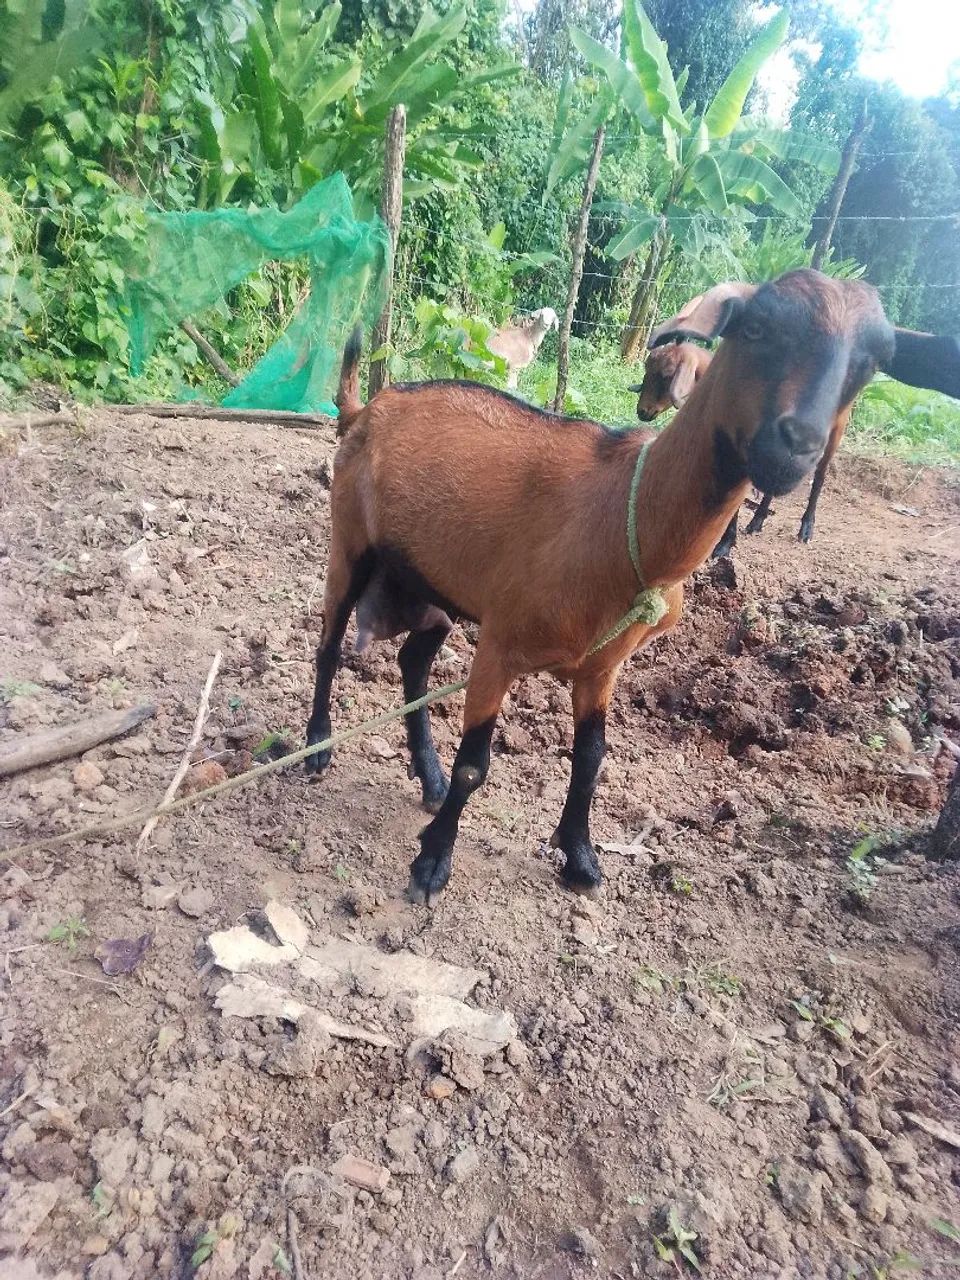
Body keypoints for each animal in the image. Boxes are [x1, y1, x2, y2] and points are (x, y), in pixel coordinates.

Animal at [305, 270, 958, 906]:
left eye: (875, 360)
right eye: (755, 328)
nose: (795, 445)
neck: (624, 513)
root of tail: (368, 407)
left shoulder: (603, 665)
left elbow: (591, 759)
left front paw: (580, 857)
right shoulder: (501, 644)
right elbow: (477, 766)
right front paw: (432, 865)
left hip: (434, 582)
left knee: (414, 658)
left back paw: (429, 775)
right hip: (351, 543)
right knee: (329, 645)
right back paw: (318, 748)